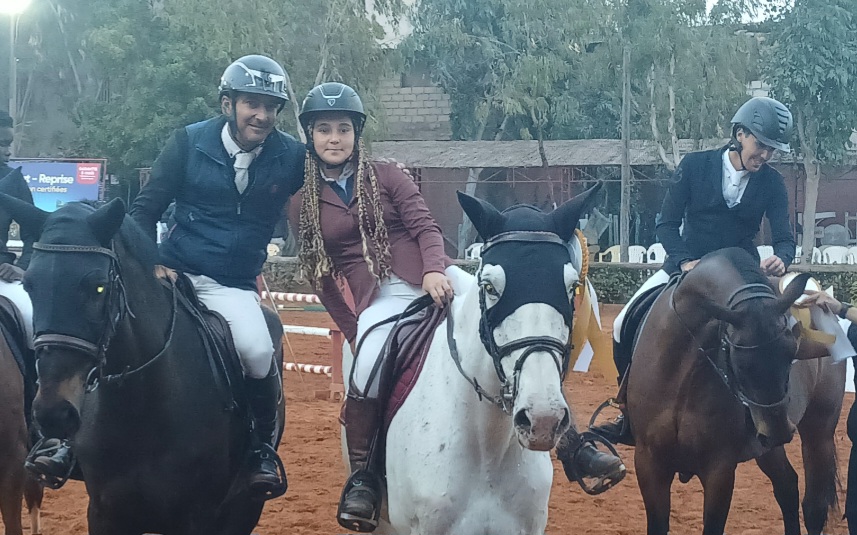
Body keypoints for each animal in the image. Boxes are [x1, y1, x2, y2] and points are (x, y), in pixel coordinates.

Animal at [0, 199, 288, 535]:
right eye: (30, 285)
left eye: (98, 287)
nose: (53, 413)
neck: (142, 405)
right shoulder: (106, 513)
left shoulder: (198, 516)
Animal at [628, 249, 844, 535]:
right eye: (739, 362)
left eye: (792, 352)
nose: (779, 431)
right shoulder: (649, 462)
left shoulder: (719, 468)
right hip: (768, 445)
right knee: (787, 486)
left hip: (818, 432)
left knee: (813, 507)